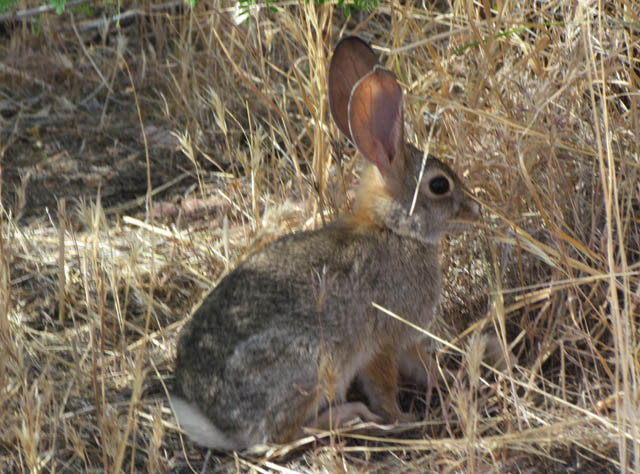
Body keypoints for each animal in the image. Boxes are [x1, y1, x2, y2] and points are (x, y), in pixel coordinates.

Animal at [172, 35, 478, 450]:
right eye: (439, 185)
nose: (474, 209)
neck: (394, 230)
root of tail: (220, 425)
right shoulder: (383, 341)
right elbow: (385, 387)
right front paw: (402, 418)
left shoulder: (405, 341)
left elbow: (425, 367)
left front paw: (455, 383)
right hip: (314, 361)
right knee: (281, 436)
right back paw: (352, 419)